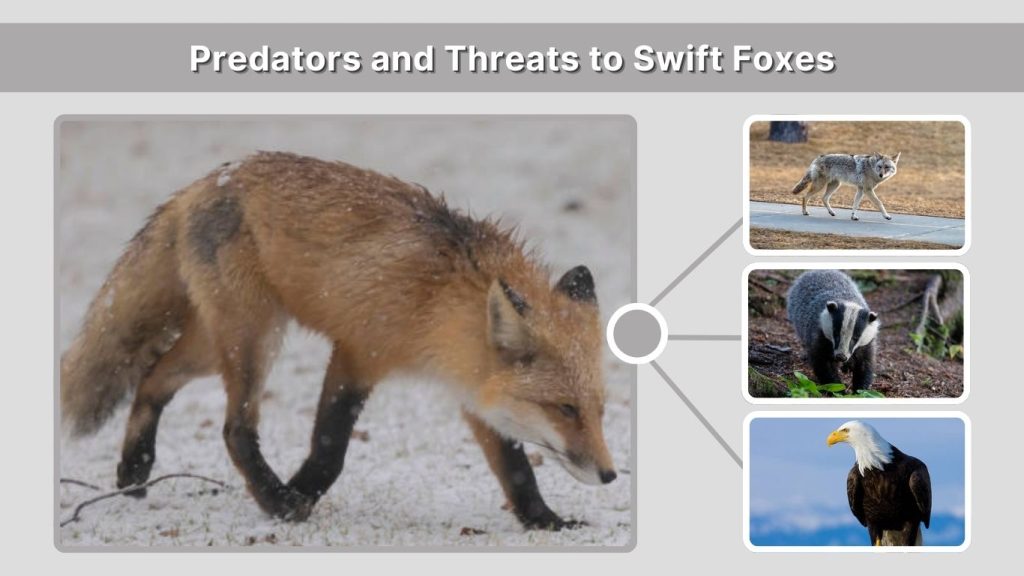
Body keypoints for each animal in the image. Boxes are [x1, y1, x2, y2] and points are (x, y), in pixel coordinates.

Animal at [60, 151, 617, 529]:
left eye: (599, 409)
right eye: (565, 409)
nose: (611, 476)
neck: (440, 301)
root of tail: (206, 181)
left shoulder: (473, 390)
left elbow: (516, 468)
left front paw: (545, 521)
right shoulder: (358, 351)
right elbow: (331, 449)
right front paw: (296, 497)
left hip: (213, 344)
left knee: (152, 377)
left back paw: (134, 470)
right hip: (254, 339)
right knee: (234, 429)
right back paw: (272, 497)